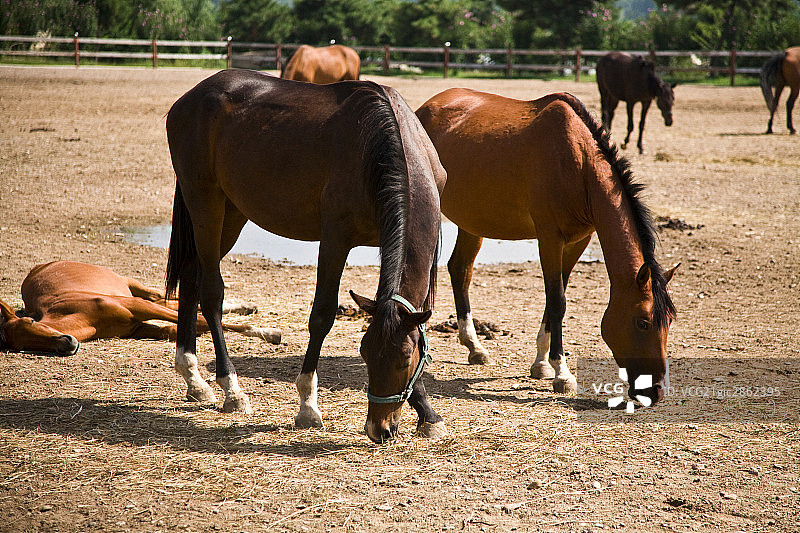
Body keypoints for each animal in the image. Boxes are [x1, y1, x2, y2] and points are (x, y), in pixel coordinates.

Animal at [0, 261, 278, 356]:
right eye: (24, 346)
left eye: (32, 323)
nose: (68, 343)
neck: (86, 315)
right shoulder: (138, 327)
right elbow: (176, 328)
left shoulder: (136, 306)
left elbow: (195, 318)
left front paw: (267, 332)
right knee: (172, 301)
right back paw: (244, 306)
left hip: (131, 286)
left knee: (164, 297)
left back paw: (246, 307)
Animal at [165, 70, 446, 443]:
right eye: (365, 356)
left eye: (403, 361)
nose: (379, 428)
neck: (383, 148)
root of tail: (191, 98)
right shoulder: (335, 240)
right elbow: (322, 316)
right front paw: (308, 406)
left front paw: (428, 414)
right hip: (205, 205)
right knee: (211, 292)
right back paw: (232, 390)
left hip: (232, 212)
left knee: (190, 276)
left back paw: (194, 379)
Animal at [416, 88, 678, 406]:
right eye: (642, 322)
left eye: (669, 322)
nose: (658, 390)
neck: (579, 165)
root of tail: (426, 107)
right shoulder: (550, 238)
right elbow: (557, 301)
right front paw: (562, 373)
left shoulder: (578, 240)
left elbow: (556, 296)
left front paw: (541, 364)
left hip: (472, 221)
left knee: (460, 270)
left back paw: (474, 347)